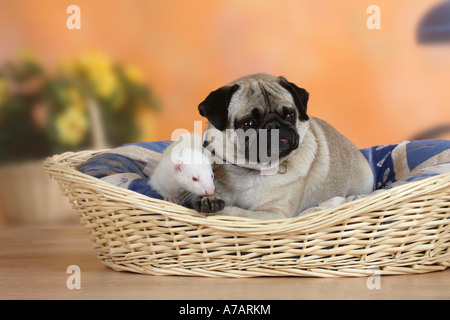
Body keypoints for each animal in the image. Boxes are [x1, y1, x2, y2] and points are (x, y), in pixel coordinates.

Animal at [192, 73, 374, 220]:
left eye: (289, 115)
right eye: (248, 123)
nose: (274, 125)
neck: (248, 170)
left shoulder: (273, 214)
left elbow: (236, 212)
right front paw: (210, 198)